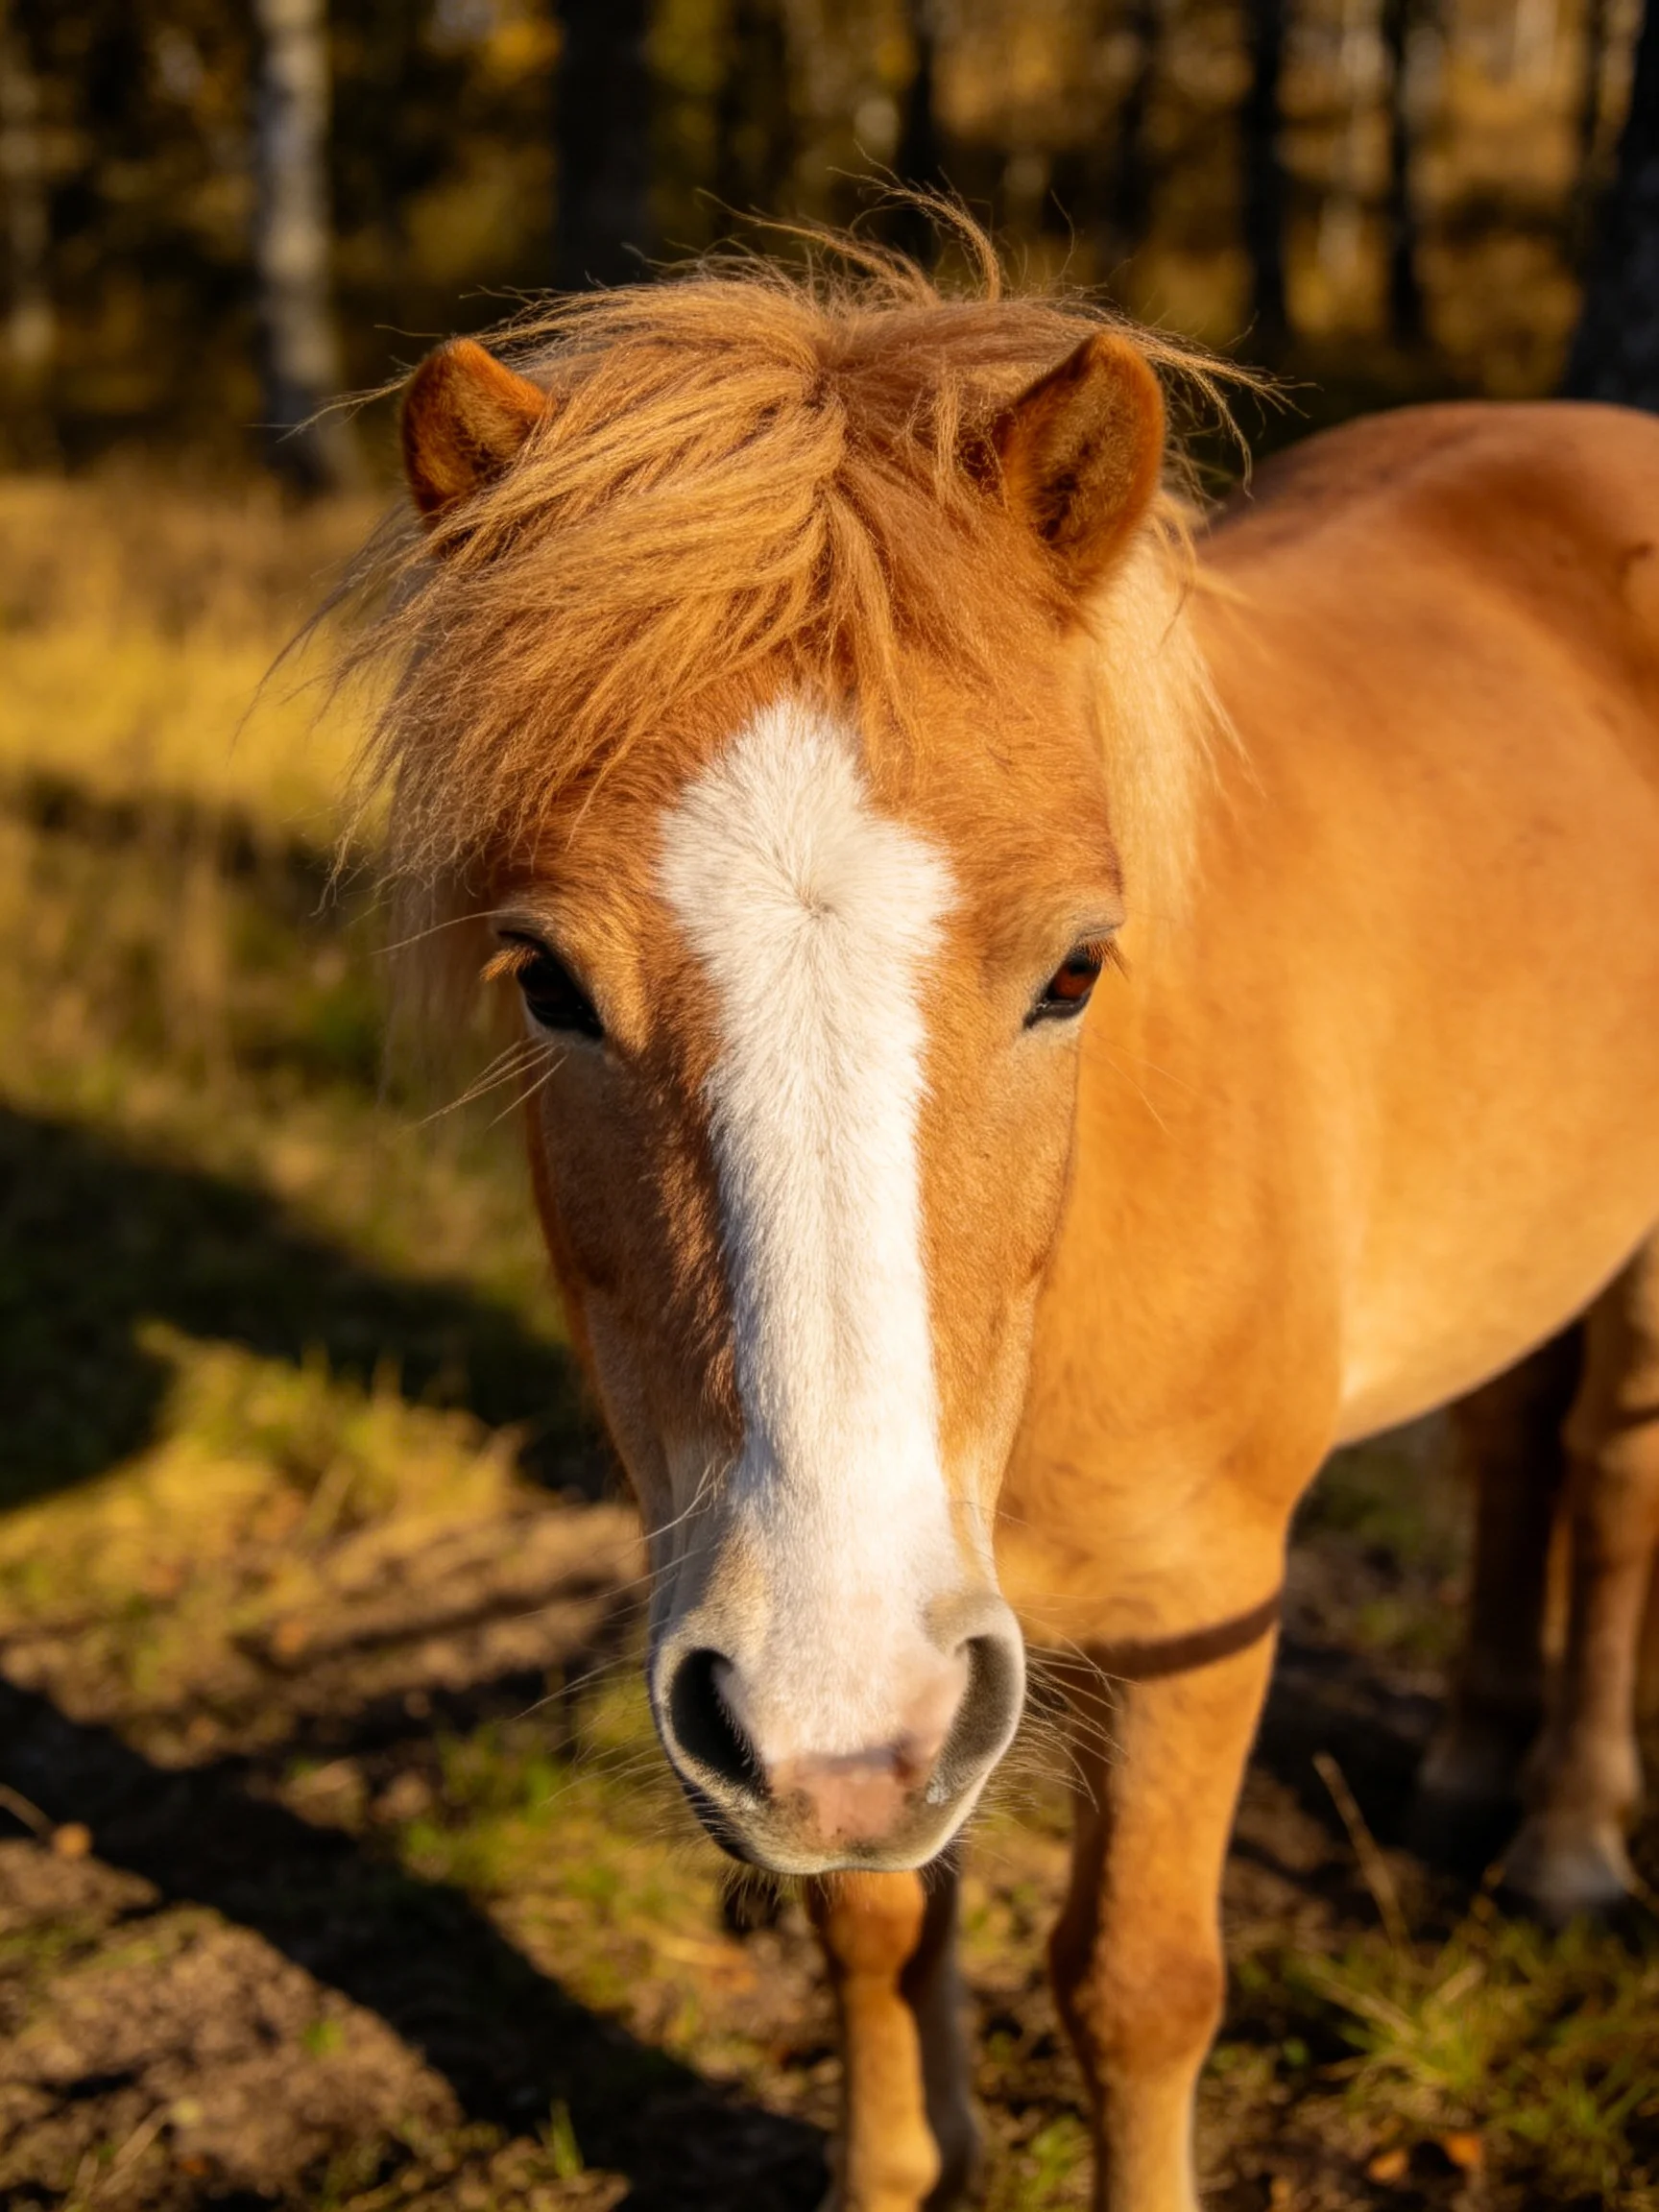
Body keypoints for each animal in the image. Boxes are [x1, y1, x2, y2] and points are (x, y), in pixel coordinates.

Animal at [358, 237, 1659, 2212]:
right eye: (547, 984)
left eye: (1072, 971)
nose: (833, 1699)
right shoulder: (848, 1705)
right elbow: (875, 1925)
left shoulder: (1204, 1605)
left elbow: (1136, 1985)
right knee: (1516, 1437)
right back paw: (1463, 1771)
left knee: (1608, 1469)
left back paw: (1571, 1836)